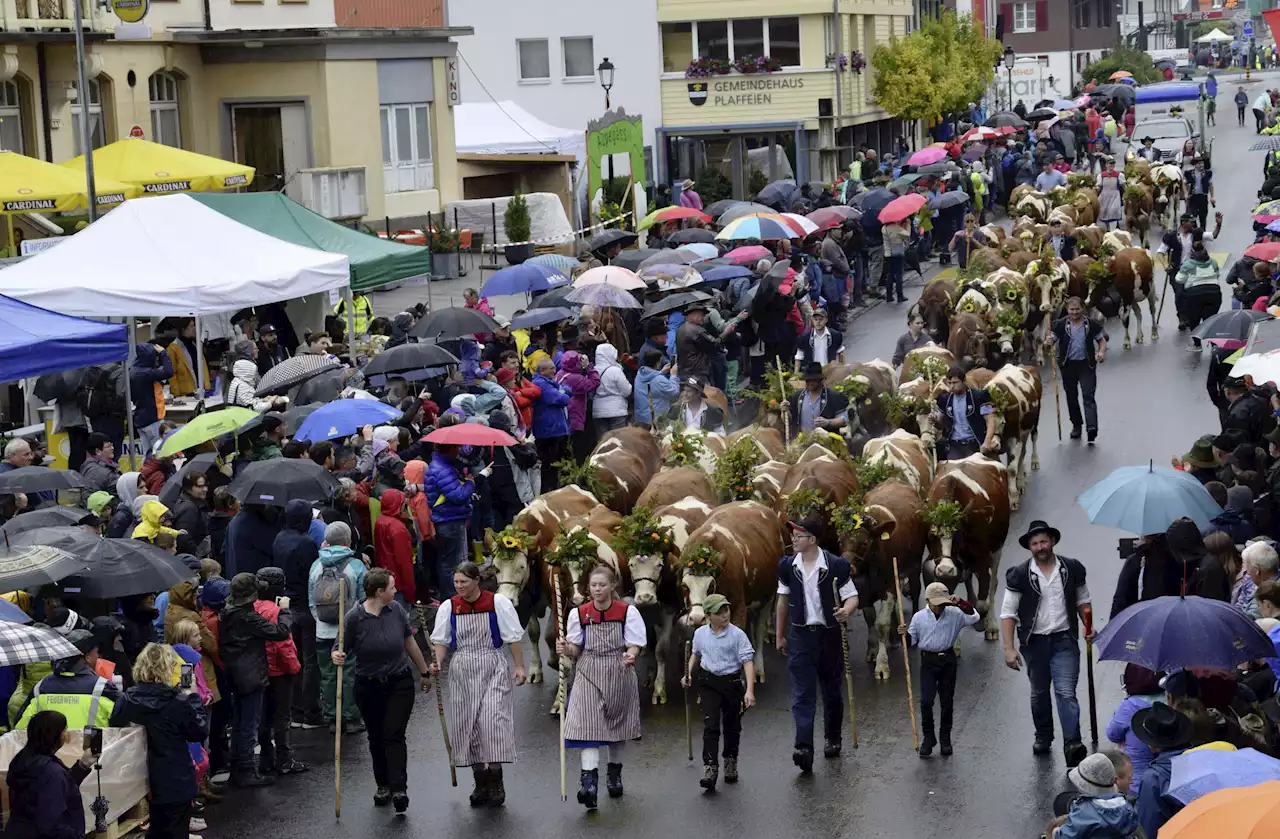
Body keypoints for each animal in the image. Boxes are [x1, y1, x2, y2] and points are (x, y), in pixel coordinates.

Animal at [675, 499, 783, 681]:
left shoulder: (738, 608)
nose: (697, 617)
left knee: (759, 629)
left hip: (768, 596)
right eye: (684, 586)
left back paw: (759, 669)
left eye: (711, 585)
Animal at [921, 456, 1008, 640]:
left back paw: (991, 625)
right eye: (932, 536)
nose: (945, 569)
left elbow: (983, 603)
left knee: (993, 584)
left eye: (958, 536)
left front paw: (981, 622)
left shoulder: (983, 559)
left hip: (998, 548)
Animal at [977, 363, 1039, 509]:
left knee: (1031, 441)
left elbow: (1011, 469)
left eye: (1003, 422)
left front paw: (1013, 498)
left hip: (1032, 424)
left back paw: (1031, 466)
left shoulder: (1014, 440)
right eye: (983, 424)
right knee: (1022, 453)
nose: (993, 445)